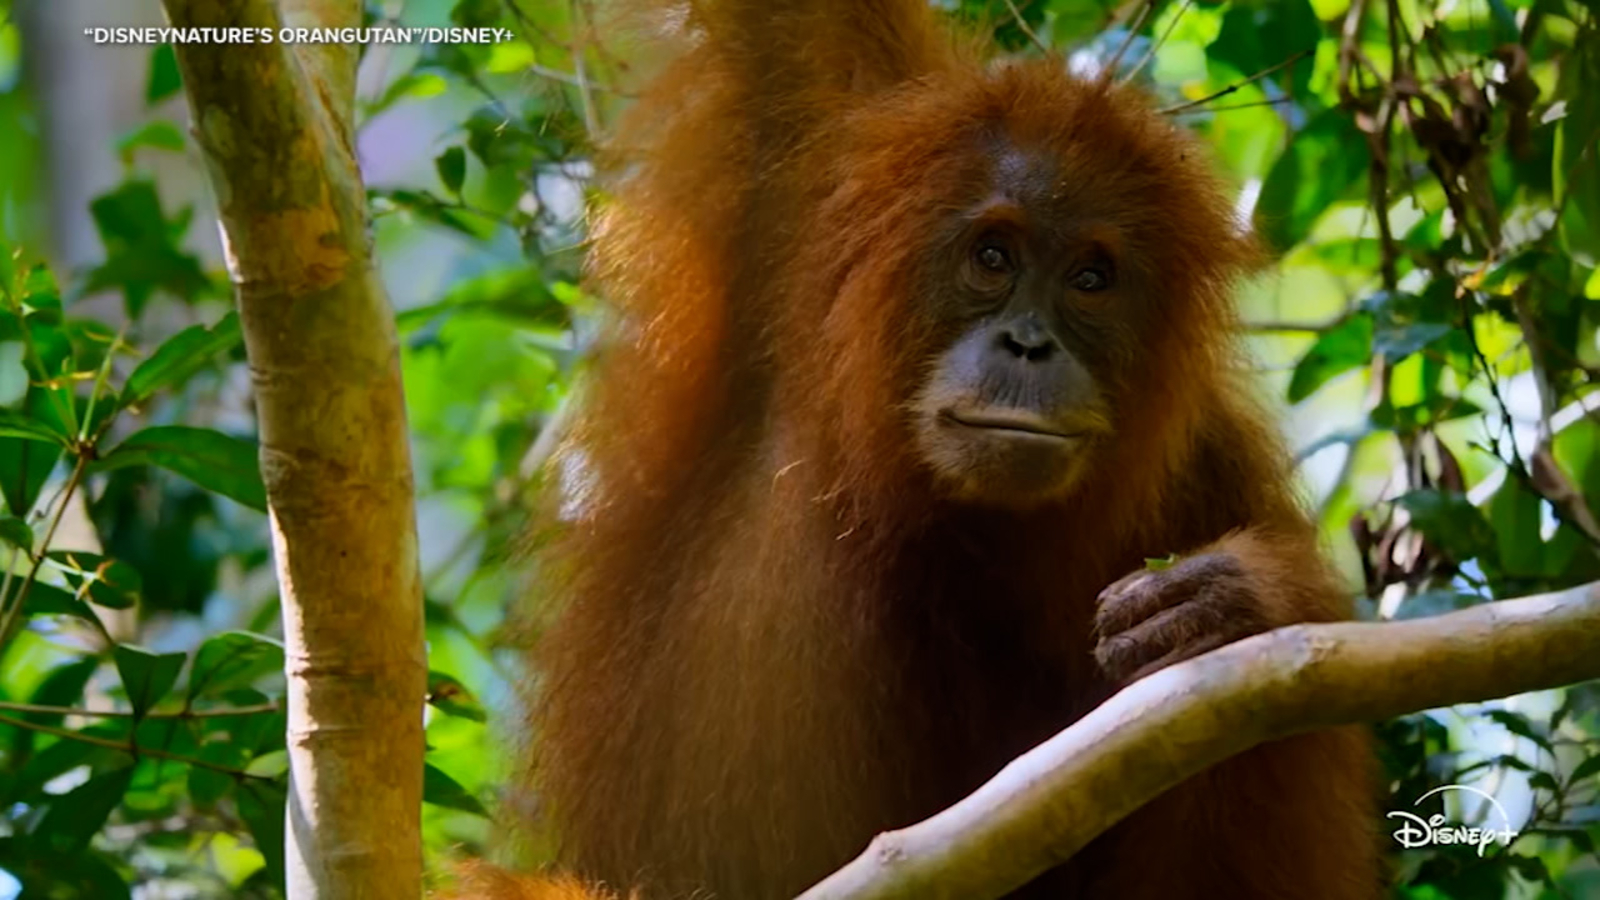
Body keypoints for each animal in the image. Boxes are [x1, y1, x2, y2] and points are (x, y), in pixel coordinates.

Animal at [487, 1, 1381, 898]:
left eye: (1091, 278)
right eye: (993, 256)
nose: (1028, 344)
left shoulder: (1210, 476)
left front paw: (1232, 603)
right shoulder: (812, 161)